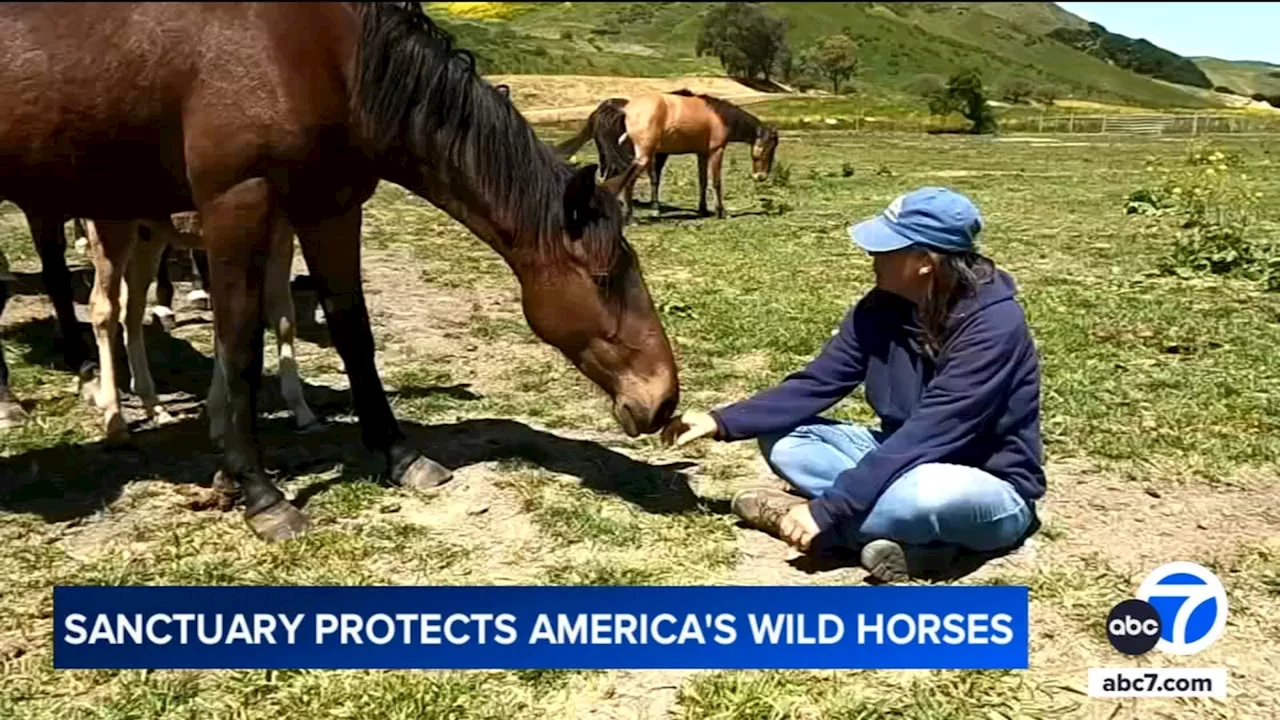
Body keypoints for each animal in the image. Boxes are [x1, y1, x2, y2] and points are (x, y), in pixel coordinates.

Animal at [0, 0, 680, 538]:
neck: (316, 52)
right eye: (604, 277)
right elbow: (239, 347)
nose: (663, 400)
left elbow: (353, 331)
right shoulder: (236, 204)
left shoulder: (330, 207)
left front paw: (399, 456)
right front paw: (259, 493)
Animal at [558, 91, 778, 221]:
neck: (719, 117)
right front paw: (721, 212)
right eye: (769, 148)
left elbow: (702, 181)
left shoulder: (701, 153)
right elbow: (716, 182)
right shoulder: (716, 151)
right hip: (643, 156)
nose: (761, 177)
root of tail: (625, 109)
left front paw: (703, 209)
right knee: (628, 180)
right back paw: (630, 217)